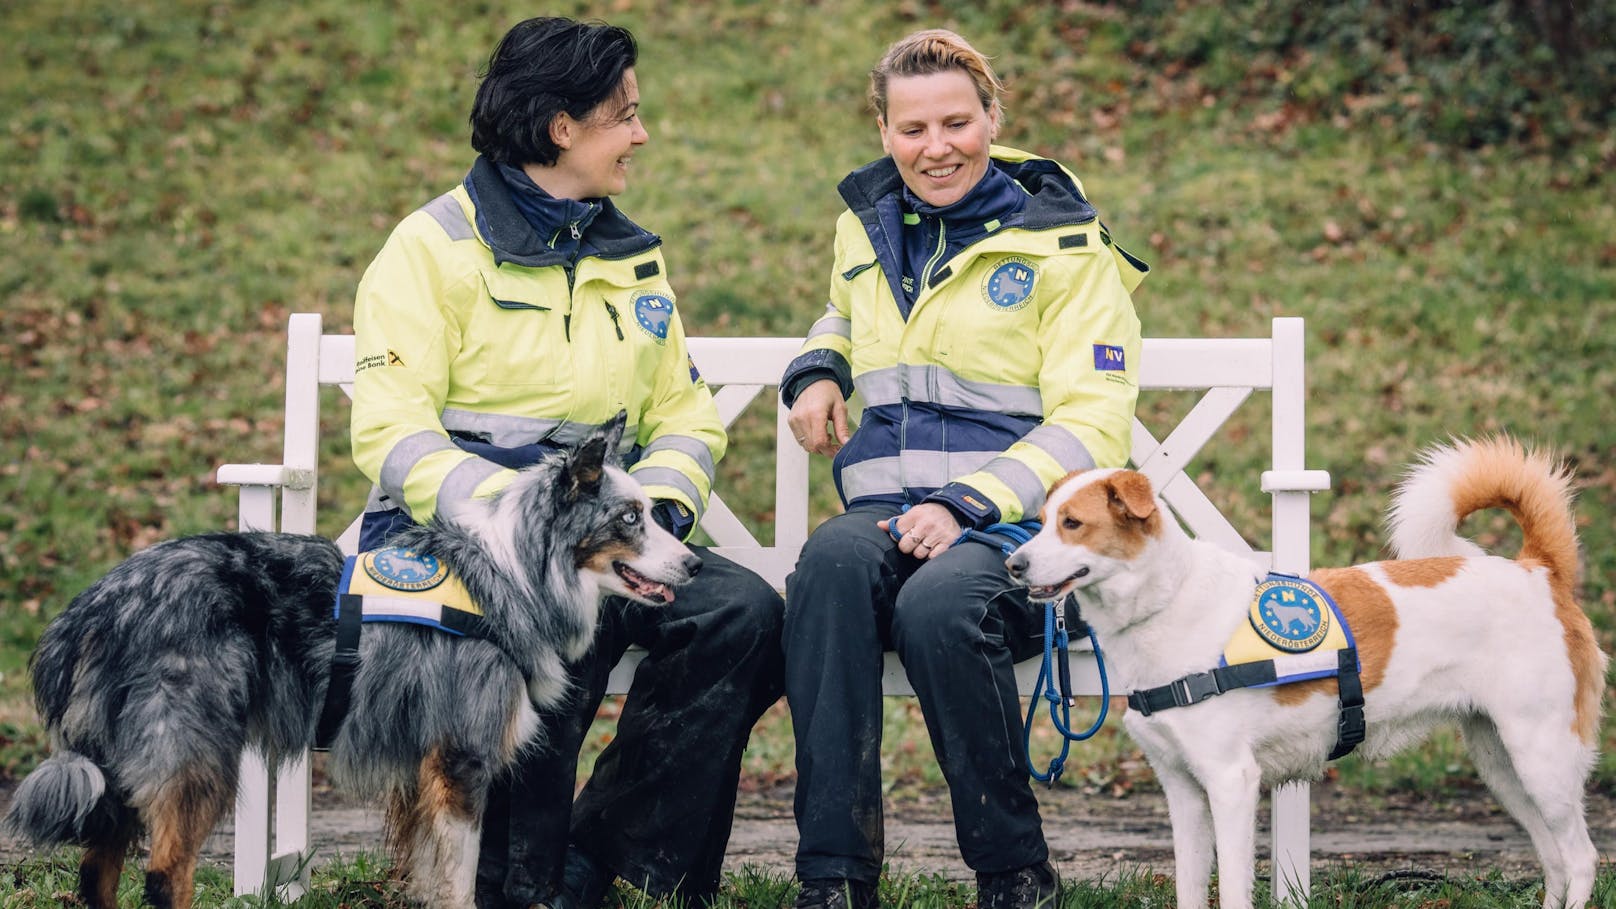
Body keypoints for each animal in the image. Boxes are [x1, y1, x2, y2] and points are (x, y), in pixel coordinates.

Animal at [6, 412, 701, 905]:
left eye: (653, 512)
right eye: (629, 517)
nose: (694, 564)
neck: (513, 574)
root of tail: (93, 604)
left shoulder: (425, 775)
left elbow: (433, 879)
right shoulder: (459, 761)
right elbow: (459, 884)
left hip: (119, 767)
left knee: (98, 871)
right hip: (193, 756)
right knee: (163, 873)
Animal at [1008, 436, 1603, 899]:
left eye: (1073, 524)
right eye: (1040, 523)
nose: (1014, 565)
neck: (1168, 601)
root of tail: (1538, 570)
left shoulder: (1231, 782)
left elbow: (1233, 890)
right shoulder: (1182, 790)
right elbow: (1190, 888)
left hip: (1542, 758)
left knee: (1580, 858)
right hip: (1502, 765)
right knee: (1553, 858)